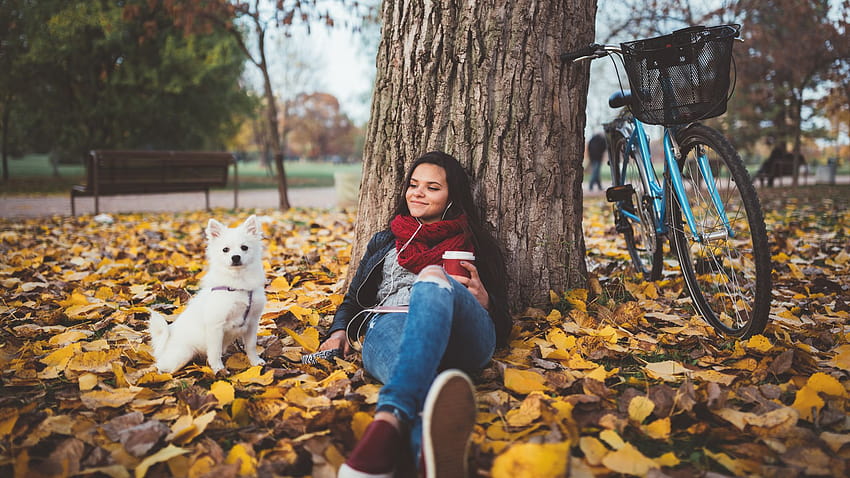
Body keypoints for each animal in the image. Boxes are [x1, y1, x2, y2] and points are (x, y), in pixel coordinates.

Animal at [147, 215, 264, 376]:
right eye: (225, 250)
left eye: (244, 247)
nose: (235, 257)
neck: (238, 284)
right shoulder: (216, 326)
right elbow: (215, 352)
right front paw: (219, 369)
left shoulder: (252, 322)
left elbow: (251, 346)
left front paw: (255, 362)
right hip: (183, 354)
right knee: (160, 367)